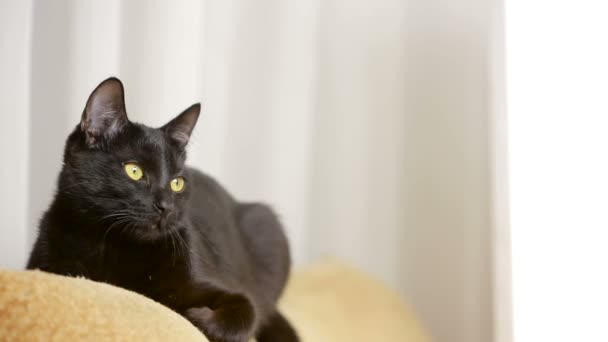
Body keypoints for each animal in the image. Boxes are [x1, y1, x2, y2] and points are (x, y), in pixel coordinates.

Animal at [28, 77, 300, 342]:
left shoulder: (223, 288)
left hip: (265, 223)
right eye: (134, 171)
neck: (118, 248)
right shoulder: (45, 266)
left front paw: (196, 316)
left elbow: (246, 312)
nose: (165, 206)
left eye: (177, 183)